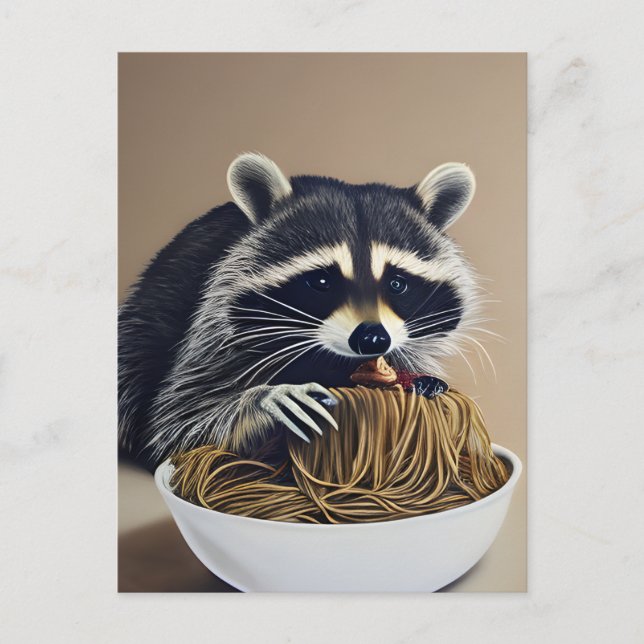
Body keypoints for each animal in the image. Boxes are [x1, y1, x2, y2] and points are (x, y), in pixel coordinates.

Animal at [118, 153, 481, 470]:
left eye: (396, 283)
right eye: (321, 281)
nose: (372, 338)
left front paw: (413, 377)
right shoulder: (215, 324)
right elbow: (176, 420)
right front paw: (262, 400)